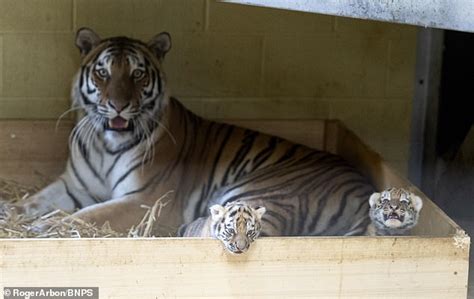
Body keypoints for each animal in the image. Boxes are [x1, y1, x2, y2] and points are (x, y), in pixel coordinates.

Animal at [22, 28, 374, 236]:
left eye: (137, 74)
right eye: (103, 73)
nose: (118, 106)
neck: (104, 145)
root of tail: (363, 187)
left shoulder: (145, 200)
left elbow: (87, 216)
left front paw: (46, 227)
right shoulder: (74, 186)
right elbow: (38, 200)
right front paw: (16, 211)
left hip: (259, 194)